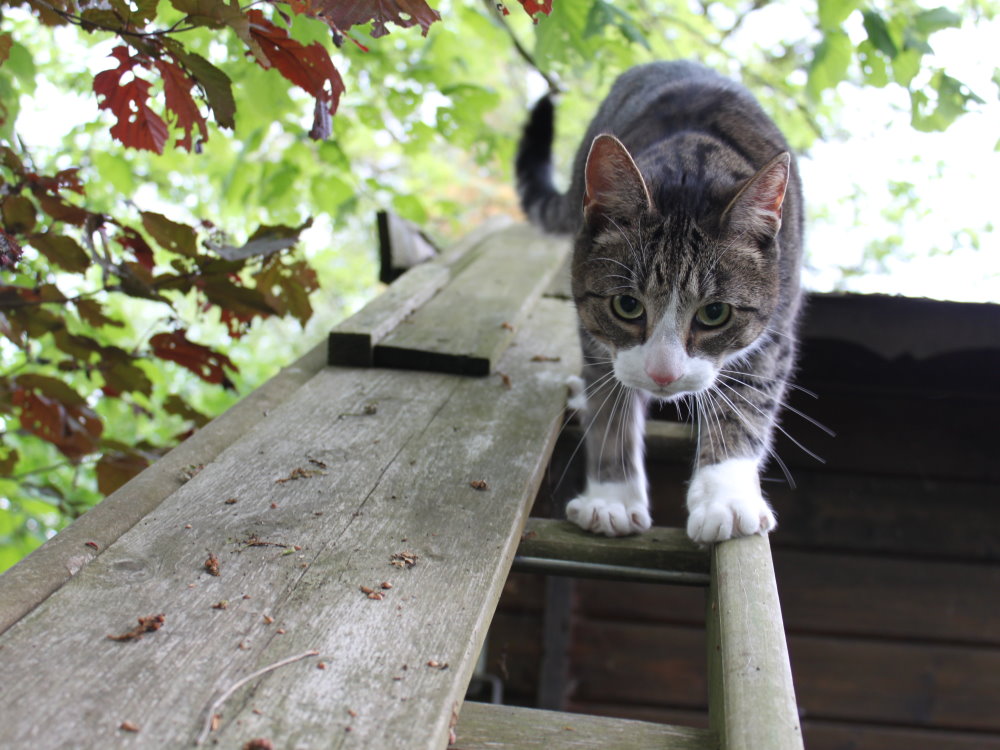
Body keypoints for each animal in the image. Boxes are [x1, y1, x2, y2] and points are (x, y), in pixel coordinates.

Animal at [516, 61, 804, 544]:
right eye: (627, 306)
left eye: (714, 313)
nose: (663, 375)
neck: (692, 162)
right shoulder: (598, 335)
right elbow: (609, 404)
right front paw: (611, 497)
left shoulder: (776, 326)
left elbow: (747, 406)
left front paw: (725, 496)